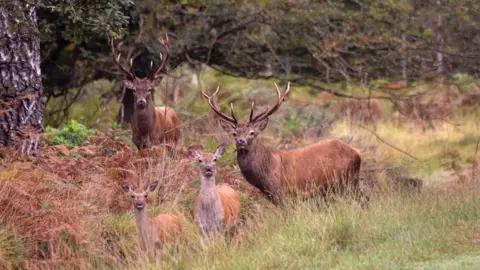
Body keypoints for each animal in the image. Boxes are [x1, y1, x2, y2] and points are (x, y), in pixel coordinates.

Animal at [202, 82, 364, 205]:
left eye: (252, 132)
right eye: (234, 133)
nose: (241, 141)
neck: (268, 173)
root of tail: (357, 152)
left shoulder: (290, 195)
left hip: (349, 181)